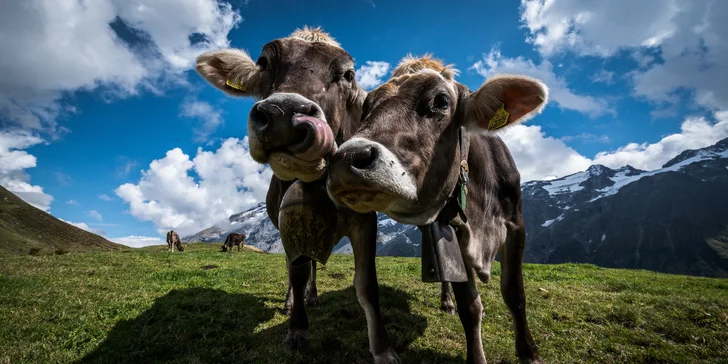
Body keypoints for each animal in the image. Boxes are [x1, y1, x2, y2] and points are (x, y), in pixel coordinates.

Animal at [193, 27, 456, 356]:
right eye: (264, 62)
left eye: (347, 74)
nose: (284, 114)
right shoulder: (290, 220)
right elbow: (298, 272)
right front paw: (297, 330)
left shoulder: (364, 220)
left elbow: (367, 283)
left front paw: (383, 349)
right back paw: (298, 300)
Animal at [328, 54, 548, 364]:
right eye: (366, 108)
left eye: (441, 101)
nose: (347, 159)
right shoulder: (452, 227)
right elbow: (470, 306)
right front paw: (476, 356)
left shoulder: (517, 223)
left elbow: (515, 293)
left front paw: (529, 353)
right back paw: (446, 300)